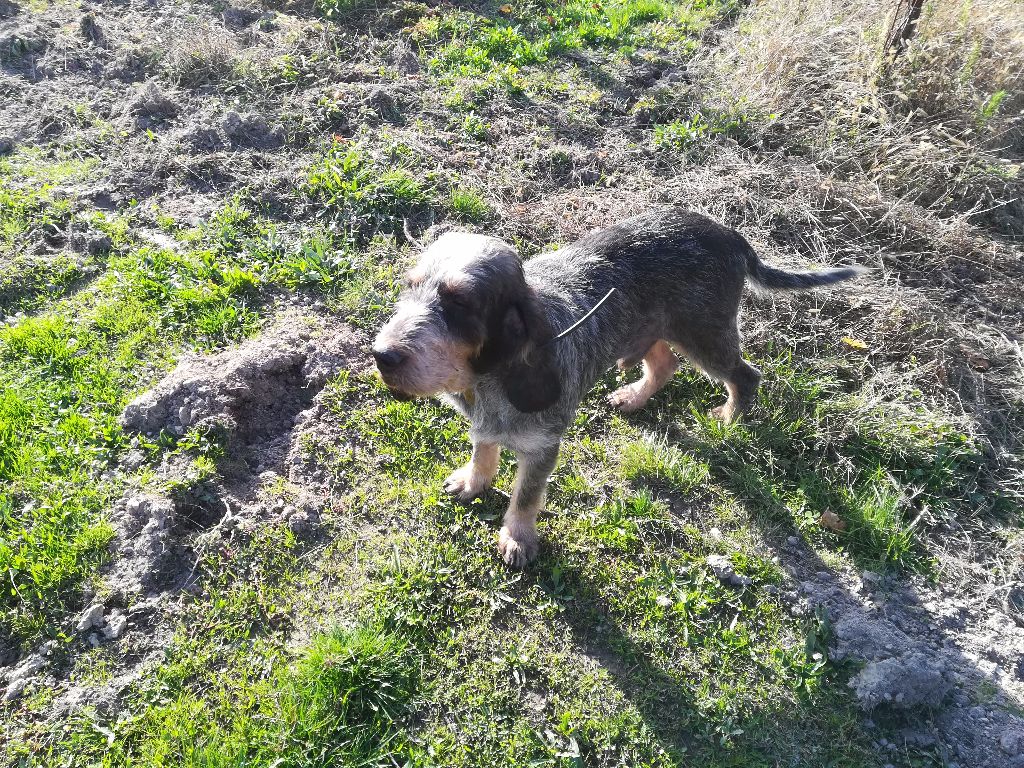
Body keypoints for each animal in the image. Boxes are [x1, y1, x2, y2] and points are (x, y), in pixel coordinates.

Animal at [372, 207, 860, 569]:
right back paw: (634, 397)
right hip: (655, 330)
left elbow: (526, 496)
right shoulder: (484, 423)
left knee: (745, 376)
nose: (381, 355)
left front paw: (517, 537)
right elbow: (483, 449)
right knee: (664, 364)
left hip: (706, 337)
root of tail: (730, 234)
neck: (491, 378)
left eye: (459, 303)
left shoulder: (543, 447)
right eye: (409, 287)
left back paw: (728, 419)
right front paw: (474, 480)